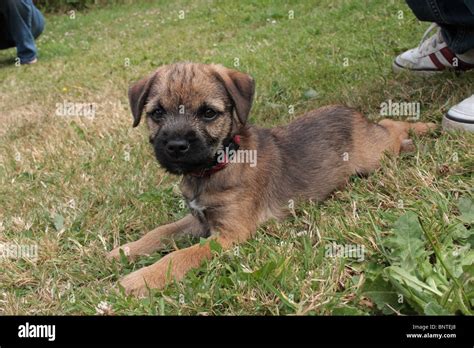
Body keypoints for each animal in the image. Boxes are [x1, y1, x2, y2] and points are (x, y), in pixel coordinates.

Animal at [108, 61, 436, 294]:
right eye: (157, 113)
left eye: (208, 113)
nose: (176, 146)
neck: (218, 165)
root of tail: (353, 113)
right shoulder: (199, 220)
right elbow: (161, 231)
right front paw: (123, 251)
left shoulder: (229, 234)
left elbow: (180, 256)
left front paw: (138, 280)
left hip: (375, 156)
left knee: (392, 126)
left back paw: (426, 127)